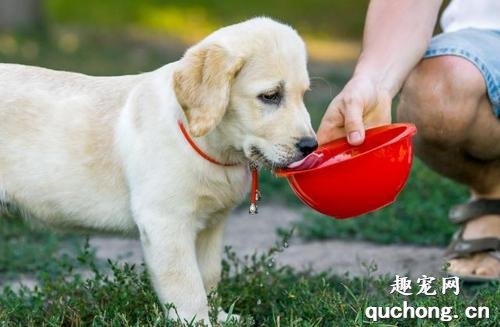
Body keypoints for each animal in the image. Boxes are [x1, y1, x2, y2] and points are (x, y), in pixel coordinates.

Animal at [0, 17, 316, 326]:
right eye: (271, 96)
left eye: (304, 95)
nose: (310, 146)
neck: (209, 145)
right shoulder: (166, 222)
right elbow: (187, 285)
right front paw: (198, 321)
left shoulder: (211, 225)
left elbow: (209, 275)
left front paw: (221, 317)